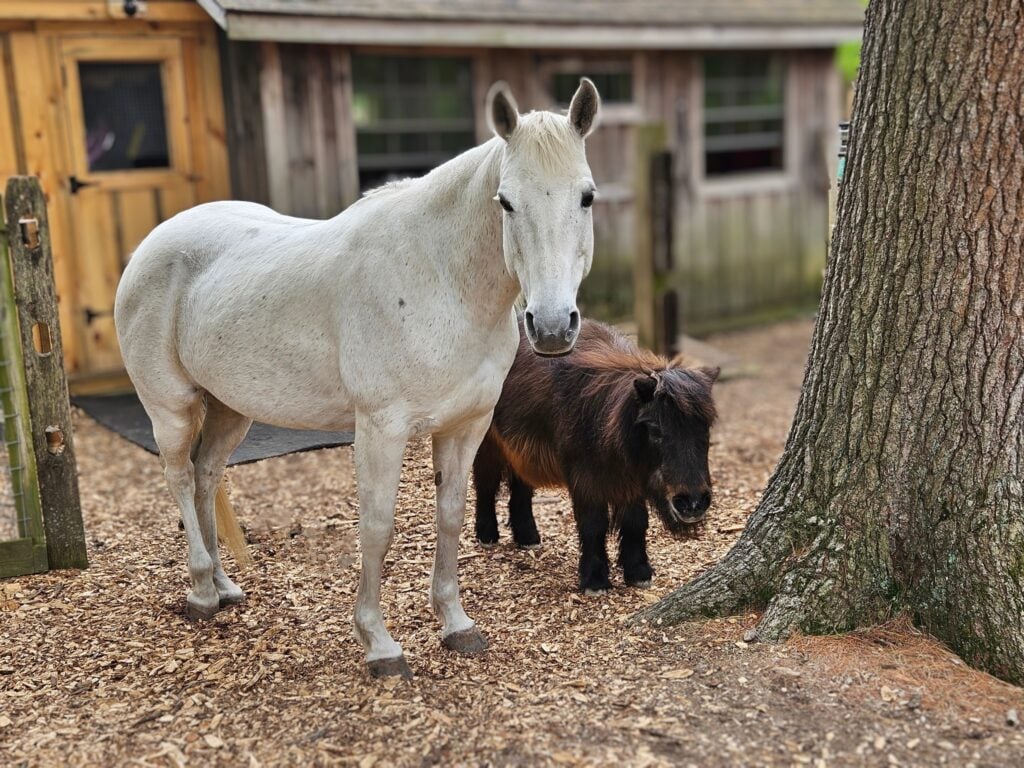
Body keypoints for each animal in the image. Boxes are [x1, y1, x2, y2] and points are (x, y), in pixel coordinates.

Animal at [114, 79, 601, 678]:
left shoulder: (465, 426)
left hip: (231, 409)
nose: (552, 326)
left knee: (207, 476)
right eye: (506, 201)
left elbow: (451, 518)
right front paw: (379, 644)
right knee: (180, 477)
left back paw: (226, 588)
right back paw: (203, 592)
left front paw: (456, 625)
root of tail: (150, 245)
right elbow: (377, 527)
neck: (440, 279)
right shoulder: (380, 429)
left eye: (586, 197)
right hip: (172, 407)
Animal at [473, 316, 718, 593]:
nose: (693, 502)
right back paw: (487, 535)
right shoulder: (585, 480)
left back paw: (528, 538)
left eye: (705, 427)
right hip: (487, 445)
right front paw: (595, 580)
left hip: (521, 451)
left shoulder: (630, 481)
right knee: (484, 485)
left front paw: (638, 572)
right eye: (656, 430)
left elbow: (635, 521)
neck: (604, 416)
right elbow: (593, 525)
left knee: (521, 488)